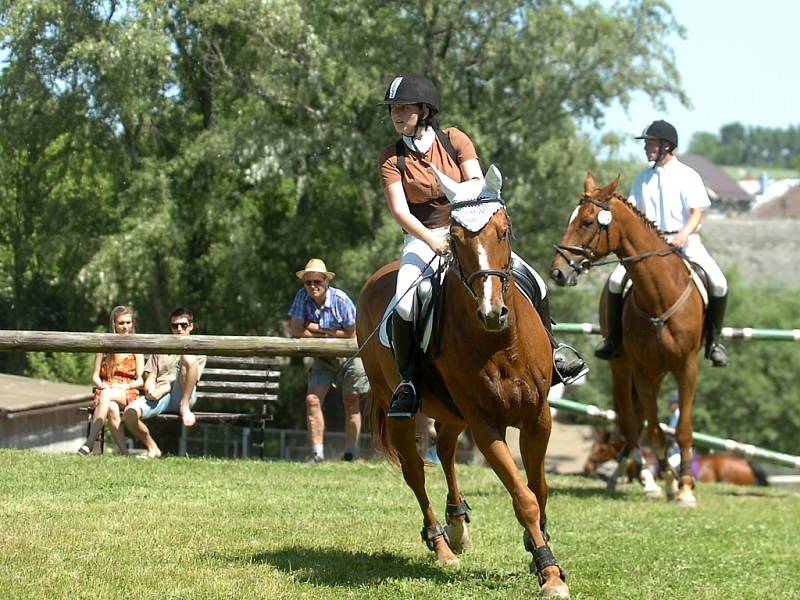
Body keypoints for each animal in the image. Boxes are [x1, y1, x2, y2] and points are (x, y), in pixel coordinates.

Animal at [356, 165, 568, 600]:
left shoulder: (538, 418)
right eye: (455, 237)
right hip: (401, 409)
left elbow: (539, 488)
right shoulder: (486, 426)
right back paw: (441, 545)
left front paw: (539, 548)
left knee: (447, 451)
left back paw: (457, 525)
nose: (491, 312)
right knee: (416, 473)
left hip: (453, 413)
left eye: (504, 231)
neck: (501, 343)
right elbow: (523, 497)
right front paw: (549, 570)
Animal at [552, 173, 708, 506]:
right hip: (623, 368)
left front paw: (685, 488)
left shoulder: (686, 367)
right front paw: (668, 482)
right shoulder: (643, 370)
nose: (557, 271)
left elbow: (682, 429)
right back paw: (636, 476)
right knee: (630, 419)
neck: (660, 298)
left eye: (587, 222)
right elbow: (653, 430)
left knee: (637, 419)